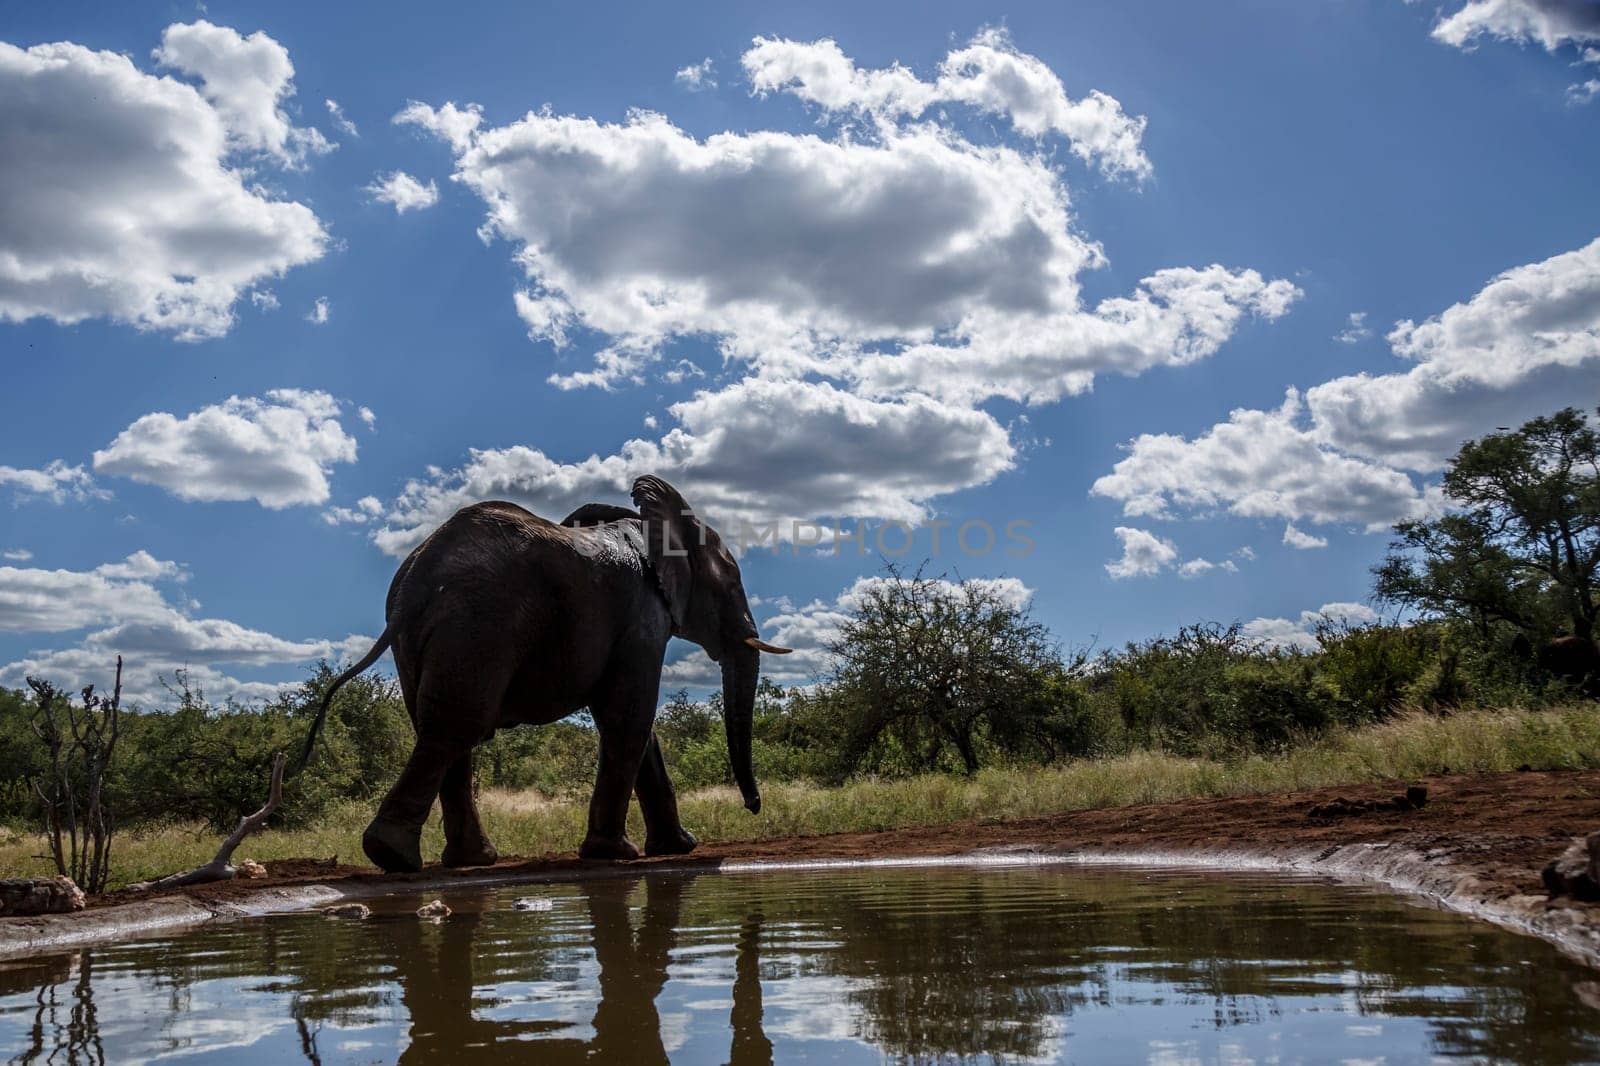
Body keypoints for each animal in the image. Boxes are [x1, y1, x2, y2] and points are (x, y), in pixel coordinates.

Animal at [297, 476, 790, 870]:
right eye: (732, 583)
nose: (753, 806)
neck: (652, 523)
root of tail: (417, 576)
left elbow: (638, 728)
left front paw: (677, 848)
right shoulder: (640, 616)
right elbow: (629, 717)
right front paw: (615, 854)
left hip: (431, 635)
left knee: (442, 729)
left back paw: (467, 859)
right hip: (482, 620)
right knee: (457, 725)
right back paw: (394, 856)